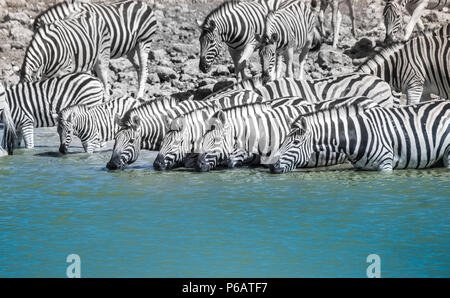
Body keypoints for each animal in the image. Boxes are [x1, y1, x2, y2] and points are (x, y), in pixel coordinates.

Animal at [270, 101, 450, 173]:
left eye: (296, 142)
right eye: (283, 141)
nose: (271, 166)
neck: (356, 133)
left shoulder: (385, 165)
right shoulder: (361, 168)